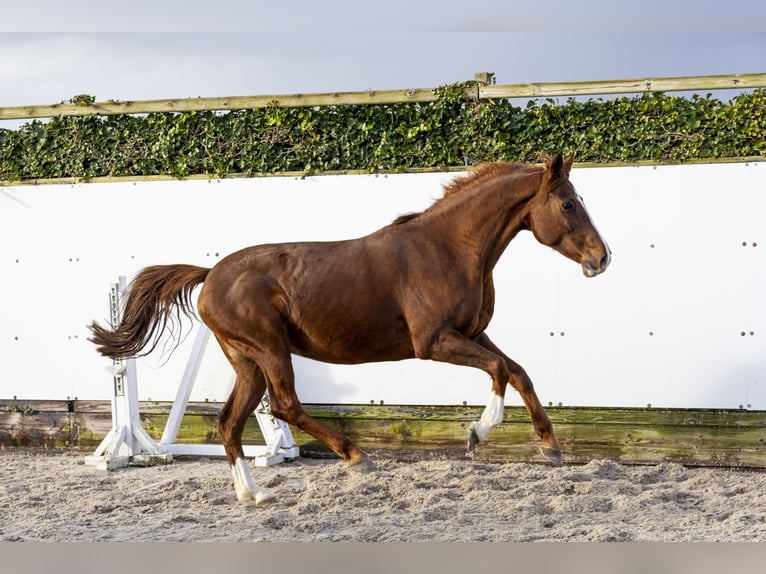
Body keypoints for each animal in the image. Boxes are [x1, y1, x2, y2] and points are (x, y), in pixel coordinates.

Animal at [88, 152, 612, 504]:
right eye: (568, 204)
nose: (602, 258)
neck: (449, 247)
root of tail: (210, 274)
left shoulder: (472, 333)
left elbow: (518, 370)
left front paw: (551, 447)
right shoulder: (435, 341)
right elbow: (500, 372)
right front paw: (476, 434)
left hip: (247, 361)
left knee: (229, 421)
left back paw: (254, 494)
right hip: (270, 350)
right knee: (285, 406)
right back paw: (356, 455)